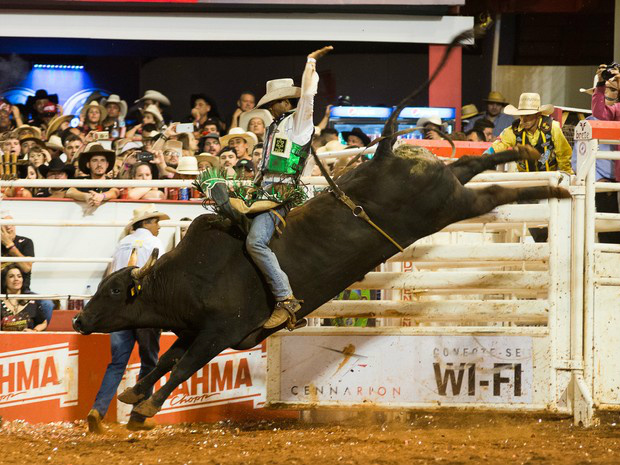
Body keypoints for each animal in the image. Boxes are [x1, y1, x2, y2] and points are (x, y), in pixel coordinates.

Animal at [72, 140, 572, 414]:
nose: (78, 320)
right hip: (446, 190)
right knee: (469, 168)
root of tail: (394, 157)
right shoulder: (192, 330)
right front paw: (132, 393)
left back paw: (556, 188)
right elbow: (163, 362)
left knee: (493, 192)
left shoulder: (218, 333)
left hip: (448, 207)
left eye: (114, 290)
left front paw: (146, 406)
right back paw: (524, 155)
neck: (187, 277)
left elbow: (183, 367)